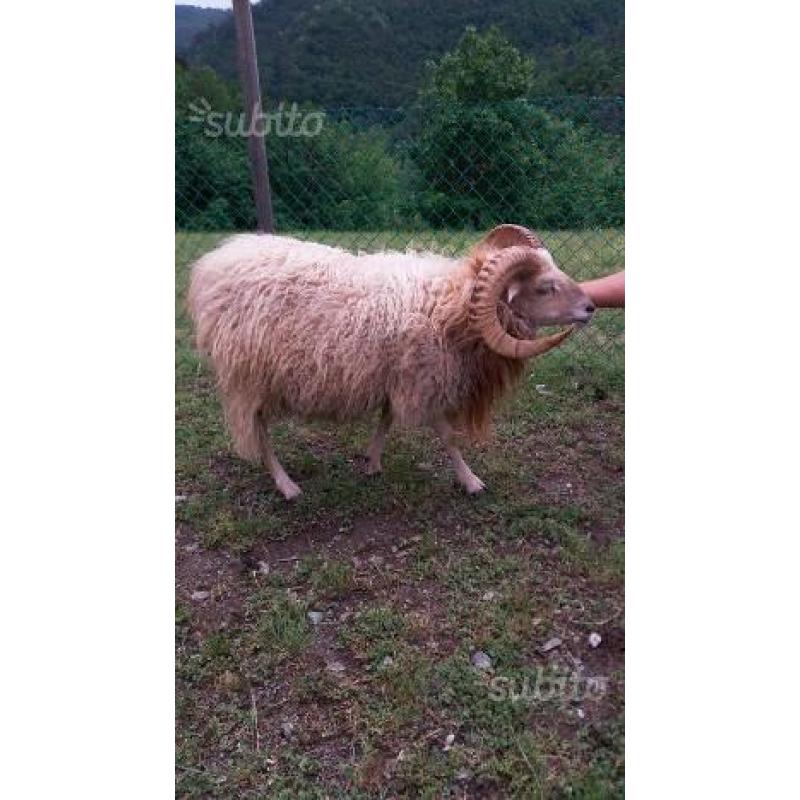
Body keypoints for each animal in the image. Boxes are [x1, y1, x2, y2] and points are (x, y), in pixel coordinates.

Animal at [188, 224, 595, 499]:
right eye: (544, 288)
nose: (591, 306)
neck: (451, 306)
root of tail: (213, 266)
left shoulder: (396, 375)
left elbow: (386, 419)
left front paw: (372, 463)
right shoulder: (423, 381)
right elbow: (447, 436)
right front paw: (470, 480)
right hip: (249, 375)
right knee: (258, 430)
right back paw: (286, 484)